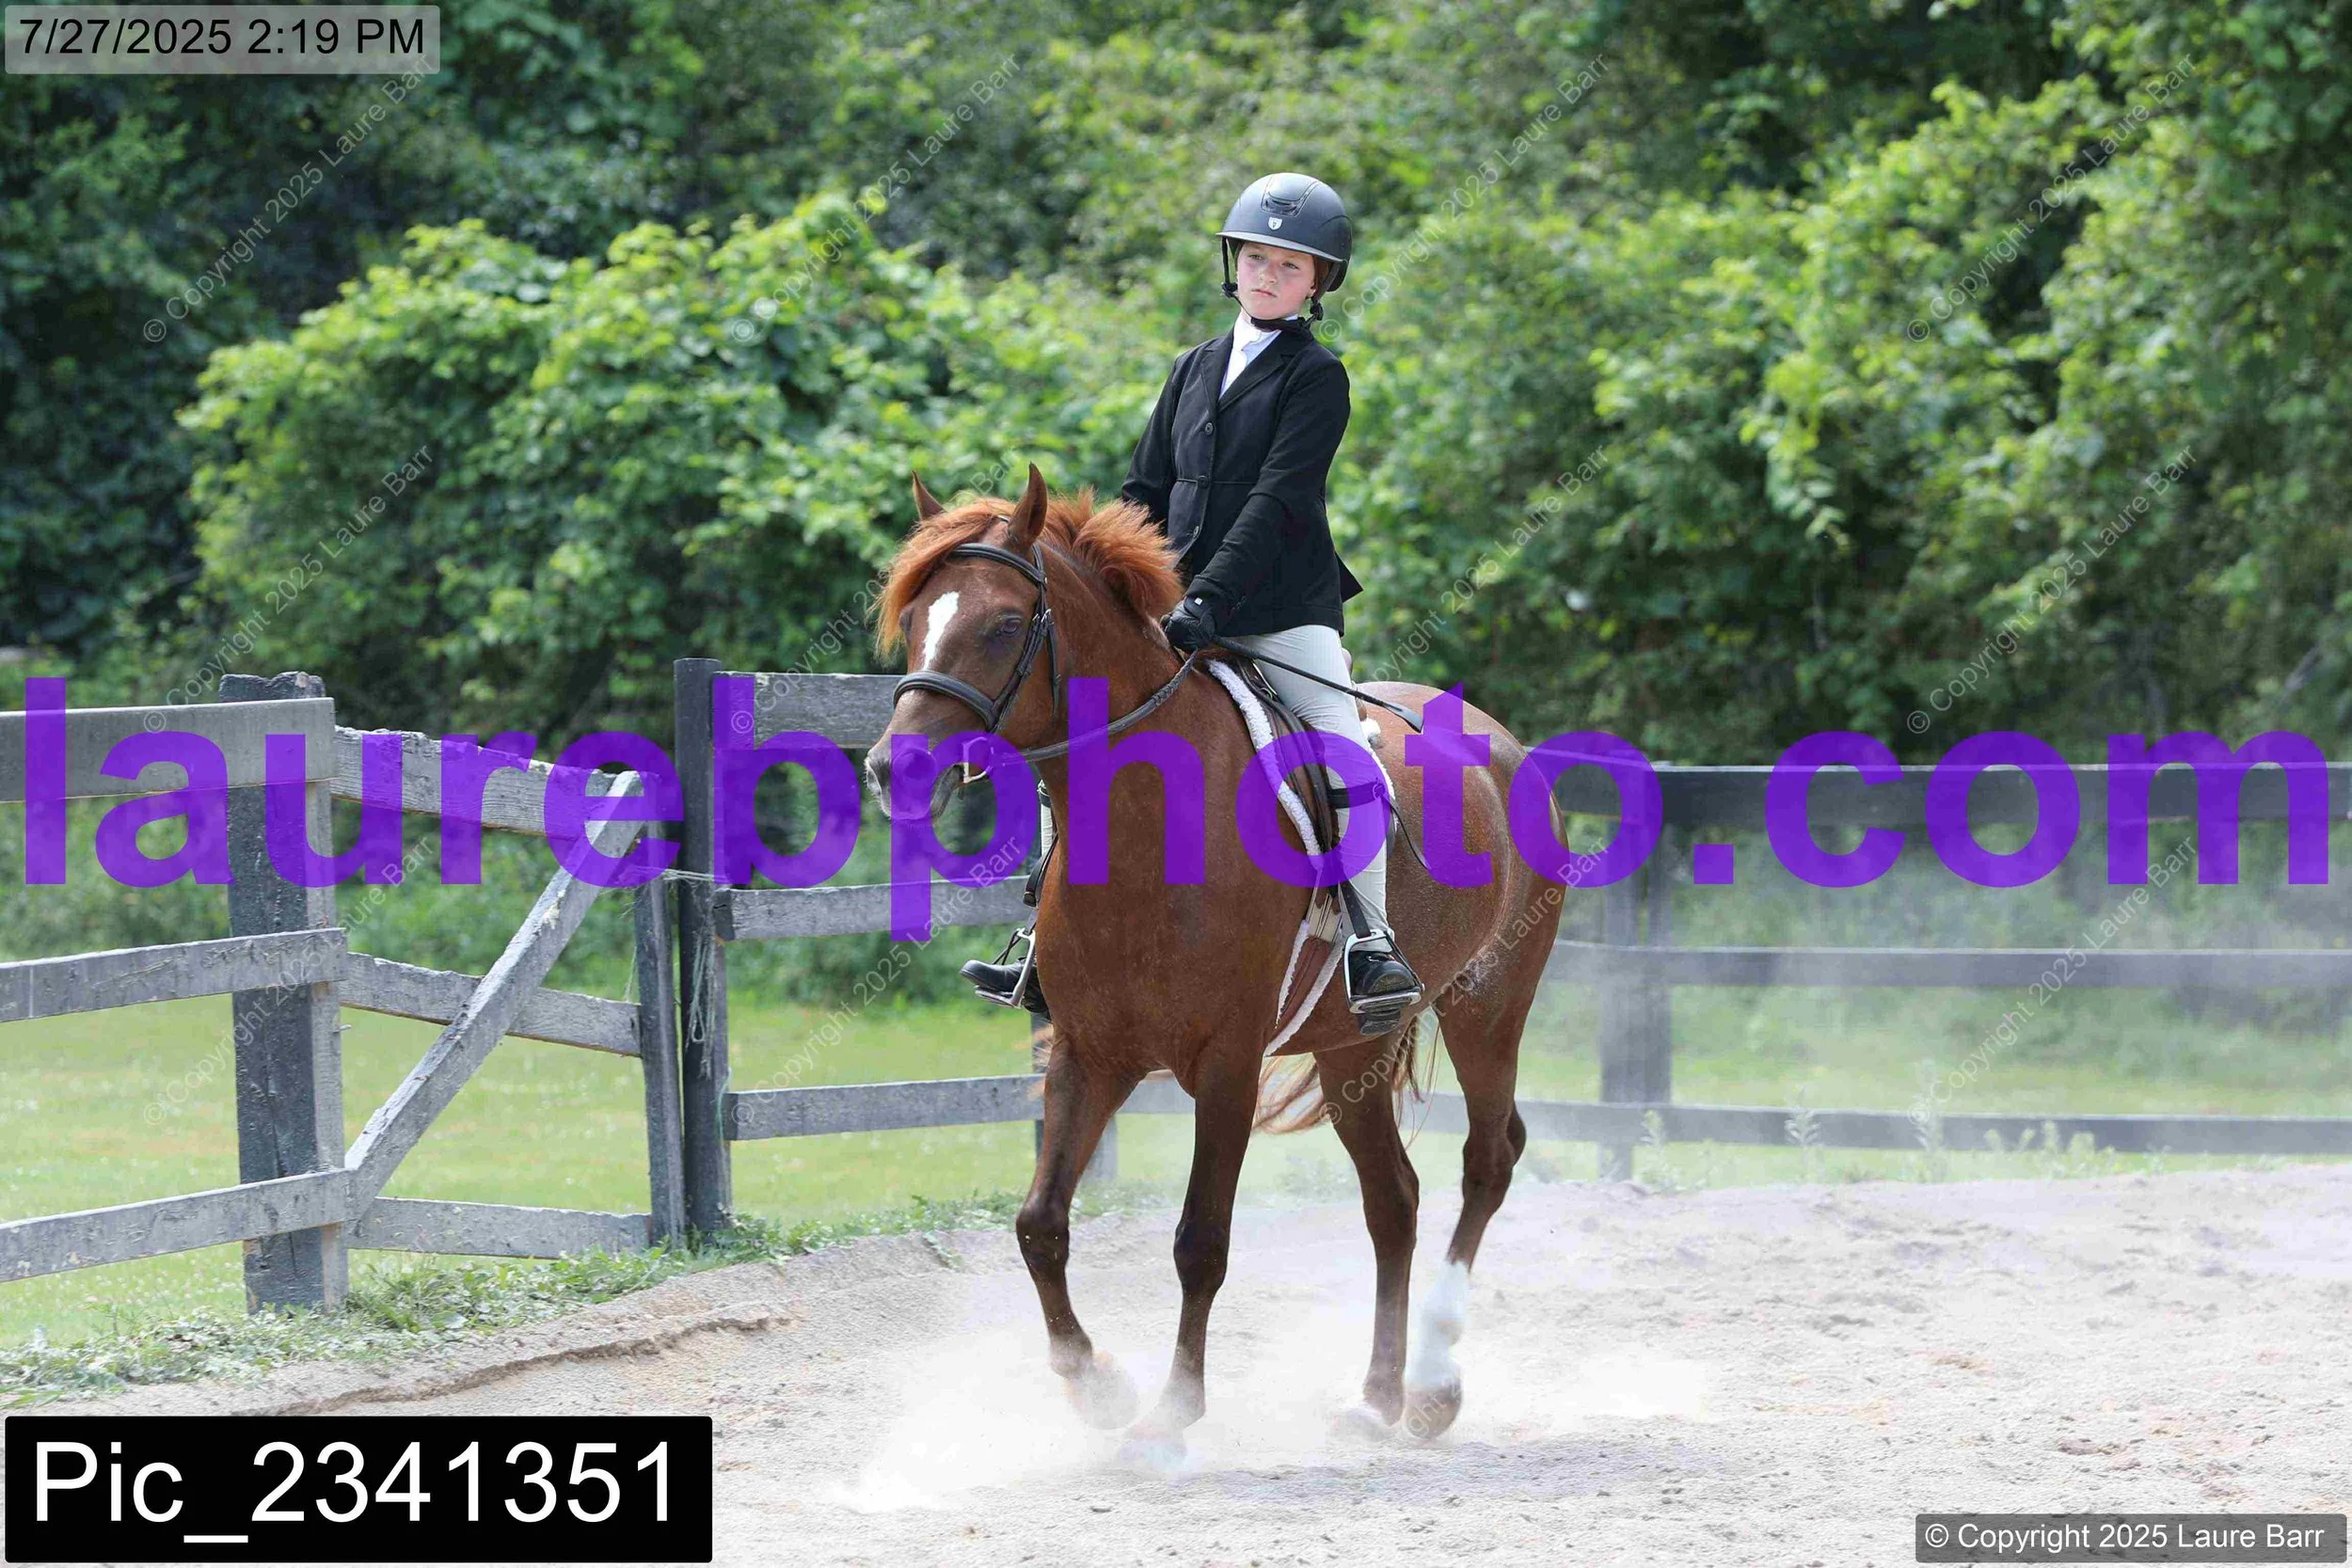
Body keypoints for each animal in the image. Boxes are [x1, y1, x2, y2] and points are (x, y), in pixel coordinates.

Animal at [867, 464, 1566, 1461]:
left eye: (1002, 624)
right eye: (918, 613)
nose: (895, 769)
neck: (1144, 826)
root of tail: (1499, 739)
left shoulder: (1227, 1066)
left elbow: (1200, 1240)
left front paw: (1169, 1414)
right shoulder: (1089, 1053)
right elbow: (1039, 1224)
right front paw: (1098, 1386)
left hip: (1488, 1003)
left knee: (1486, 1162)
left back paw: (1432, 1383)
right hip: (1353, 1046)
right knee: (1393, 1199)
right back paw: (1376, 1397)